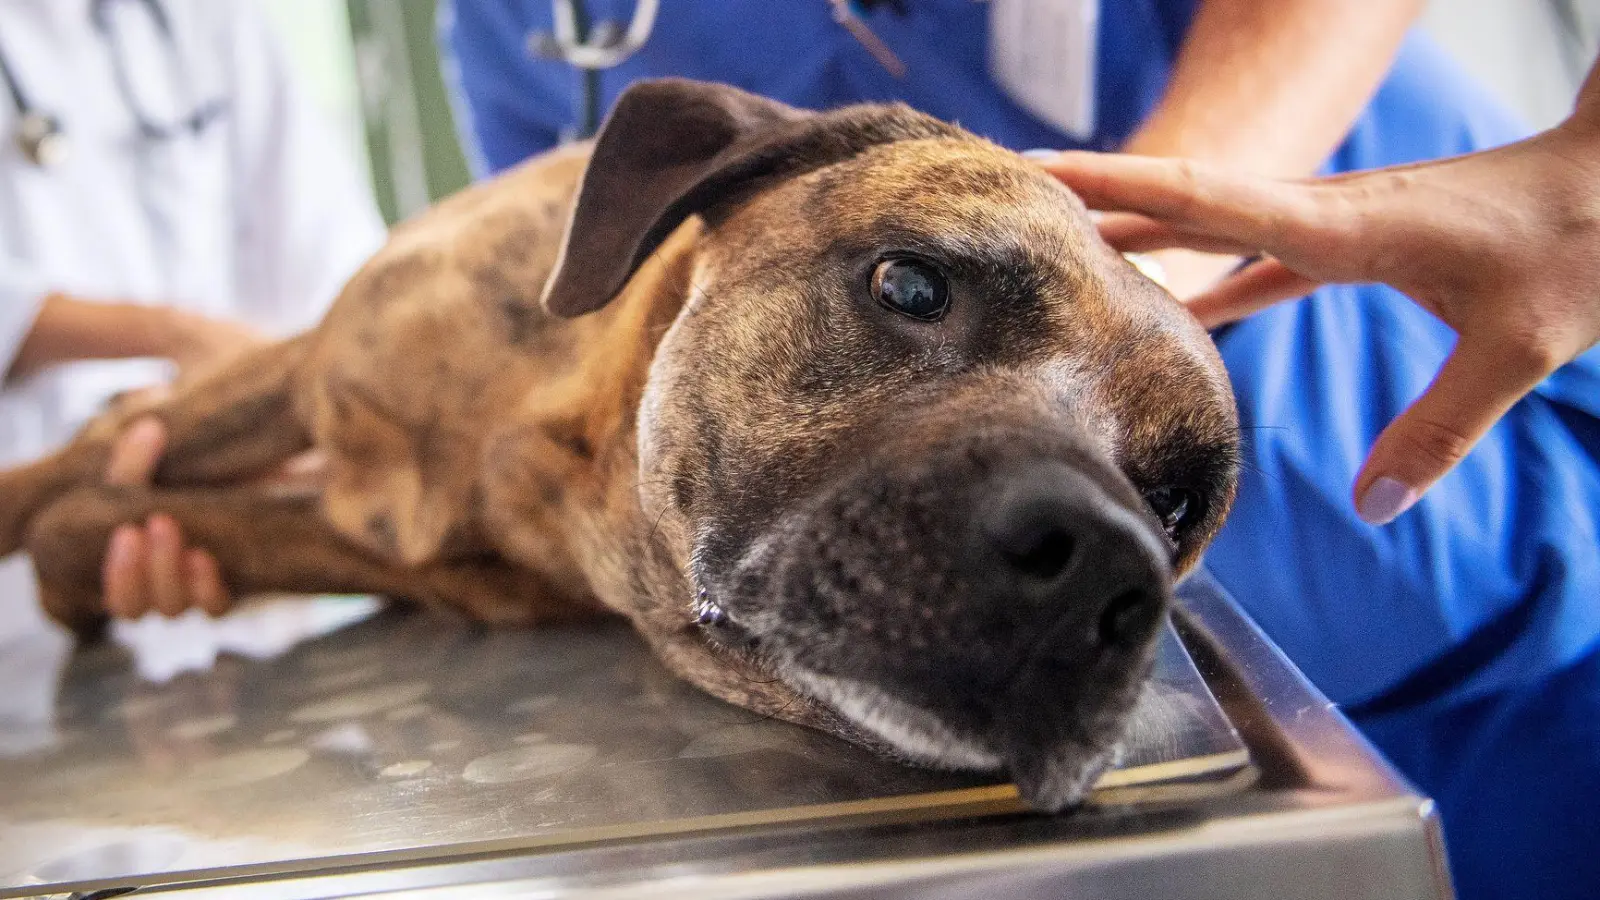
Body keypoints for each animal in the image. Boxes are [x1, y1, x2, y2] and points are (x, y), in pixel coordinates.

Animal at [0, 78, 1235, 807]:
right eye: (913, 284)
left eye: (1177, 505)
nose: (1100, 571)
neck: (553, 449)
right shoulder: (308, 372)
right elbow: (76, 467)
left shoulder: (408, 557)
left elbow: (119, 519)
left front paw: (86, 565)